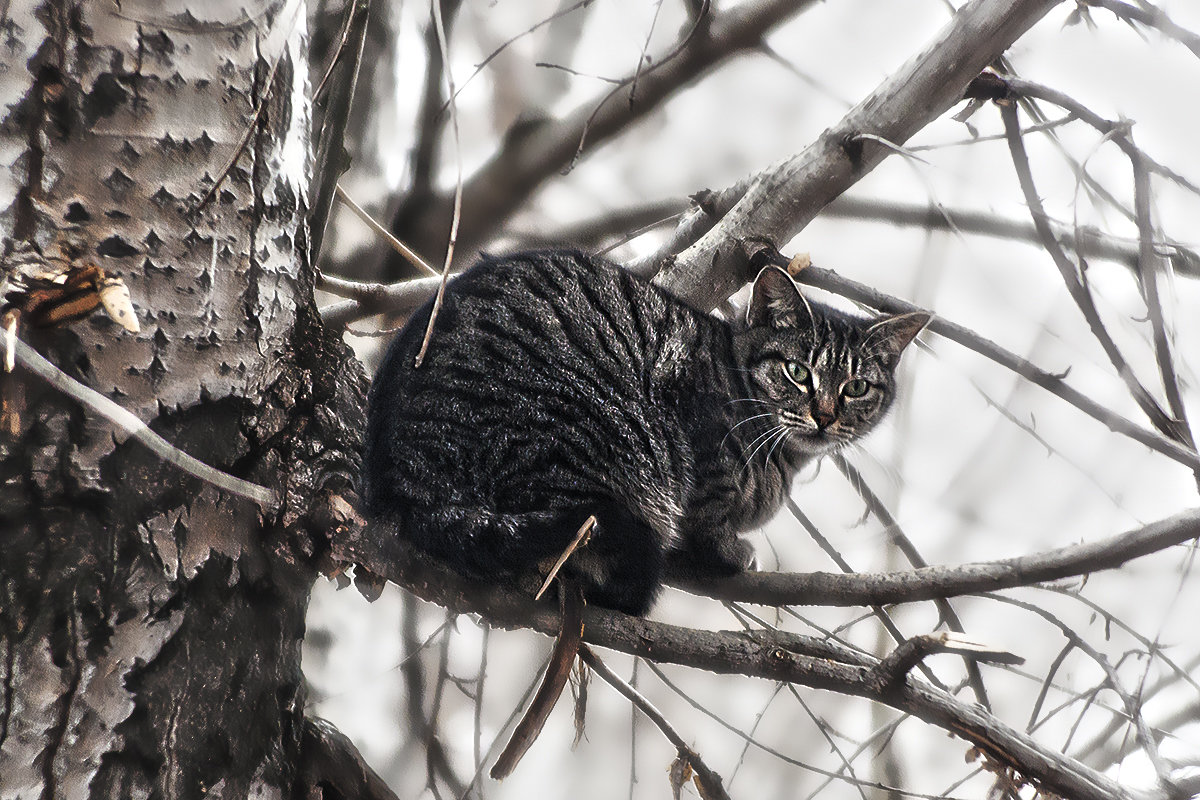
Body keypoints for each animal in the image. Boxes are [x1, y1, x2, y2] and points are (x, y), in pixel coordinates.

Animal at [362, 248, 926, 614]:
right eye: (797, 372)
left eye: (856, 387)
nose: (825, 415)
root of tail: (410, 490)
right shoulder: (697, 441)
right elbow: (706, 516)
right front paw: (728, 550)